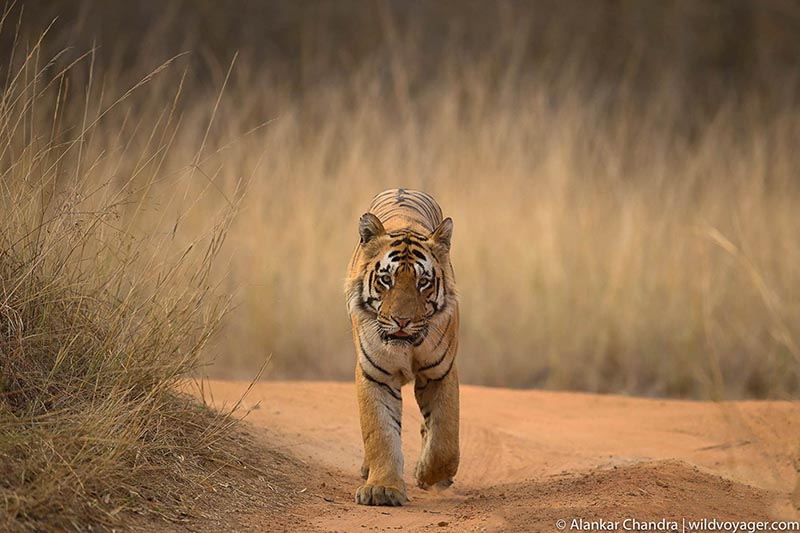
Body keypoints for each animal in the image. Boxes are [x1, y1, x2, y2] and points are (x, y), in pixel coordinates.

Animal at [345, 188, 459, 506]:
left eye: (423, 282)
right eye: (386, 279)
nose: (402, 321)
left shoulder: (439, 373)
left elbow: (445, 438)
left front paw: (428, 475)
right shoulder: (375, 375)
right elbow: (380, 433)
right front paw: (382, 488)